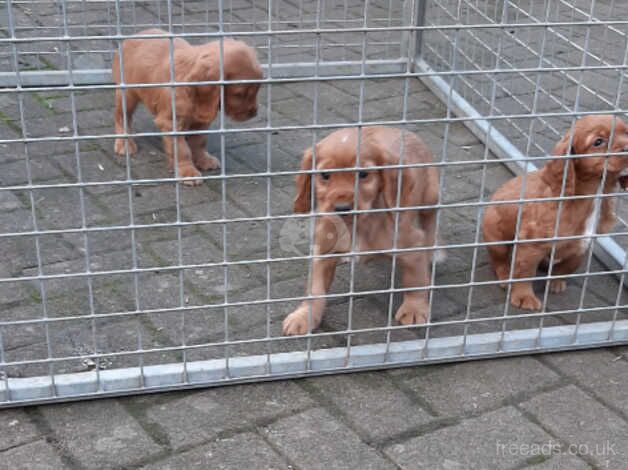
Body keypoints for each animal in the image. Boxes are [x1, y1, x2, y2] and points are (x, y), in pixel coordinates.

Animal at [111, 27, 262, 185]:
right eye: (239, 94)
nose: (254, 113)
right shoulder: (170, 122)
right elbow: (182, 149)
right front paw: (188, 172)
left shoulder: (202, 120)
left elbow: (199, 142)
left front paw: (203, 160)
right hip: (127, 95)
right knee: (122, 117)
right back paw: (124, 143)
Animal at [282, 126, 440, 336]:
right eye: (325, 175)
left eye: (363, 174)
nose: (342, 208)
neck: (356, 226)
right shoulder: (322, 250)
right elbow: (315, 289)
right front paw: (304, 316)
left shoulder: (411, 244)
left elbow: (414, 280)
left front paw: (414, 309)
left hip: (431, 197)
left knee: (430, 225)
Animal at [484, 115, 624, 310]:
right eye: (598, 142)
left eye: (626, 132)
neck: (592, 193)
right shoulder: (531, 243)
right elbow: (524, 271)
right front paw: (524, 297)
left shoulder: (582, 245)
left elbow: (567, 267)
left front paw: (555, 282)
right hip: (496, 237)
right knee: (499, 259)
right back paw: (505, 276)